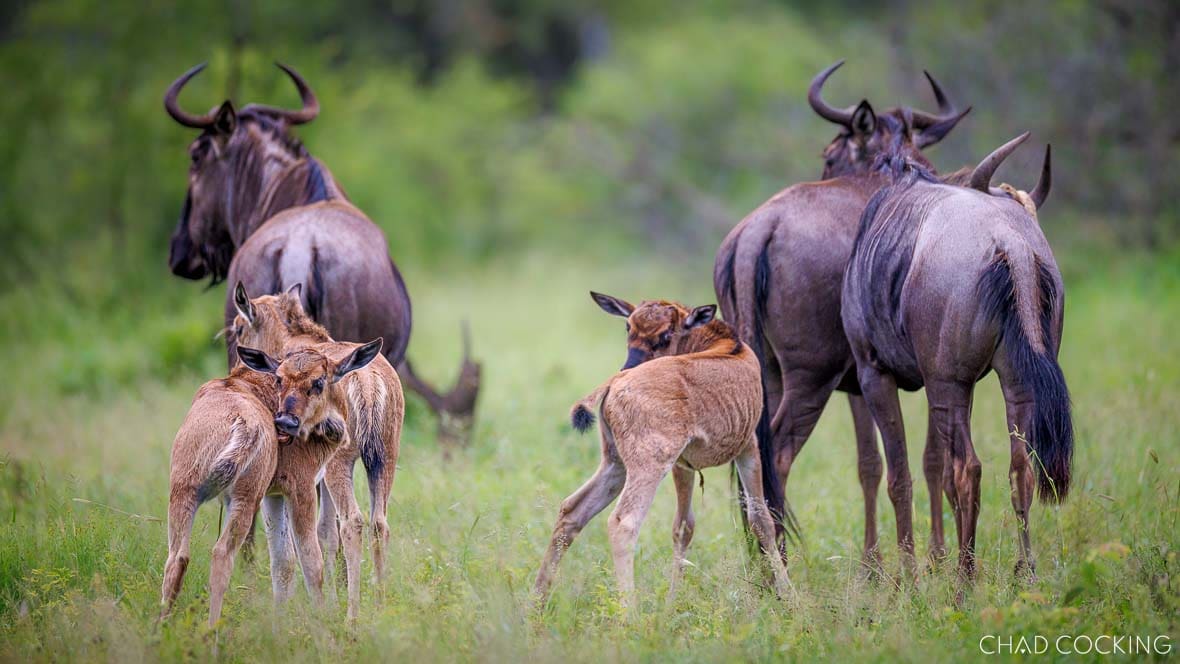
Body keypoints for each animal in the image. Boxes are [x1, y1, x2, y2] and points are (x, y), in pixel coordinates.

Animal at [159, 340, 381, 627]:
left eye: (319, 381)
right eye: (279, 379)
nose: (285, 422)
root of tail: (240, 424)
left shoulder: (274, 495)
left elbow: (282, 562)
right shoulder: (300, 488)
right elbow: (311, 563)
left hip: (185, 491)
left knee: (177, 558)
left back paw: (161, 626)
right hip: (244, 498)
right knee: (221, 554)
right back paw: (211, 632)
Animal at [230, 282, 404, 619]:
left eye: (239, 327)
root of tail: (370, 384)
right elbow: (325, 532)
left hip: (342, 463)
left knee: (354, 521)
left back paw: (352, 616)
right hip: (385, 456)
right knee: (379, 523)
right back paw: (379, 604)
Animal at [533, 293, 791, 607]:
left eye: (666, 335)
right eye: (628, 328)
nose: (627, 365)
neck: (727, 346)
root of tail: (615, 383)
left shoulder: (683, 464)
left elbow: (684, 526)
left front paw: (671, 603)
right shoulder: (748, 448)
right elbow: (761, 520)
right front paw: (794, 599)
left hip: (616, 465)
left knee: (571, 510)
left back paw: (535, 603)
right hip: (649, 467)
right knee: (623, 523)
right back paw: (629, 612)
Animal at [841, 129, 1067, 582]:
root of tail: (1013, 243)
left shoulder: (875, 373)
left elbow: (900, 476)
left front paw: (907, 579)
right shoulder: (949, 383)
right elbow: (936, 471)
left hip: (948, 384)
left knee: (969, 470)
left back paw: (965, 579)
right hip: (1013, 381)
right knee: (1019, 466)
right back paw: (1024, 572)